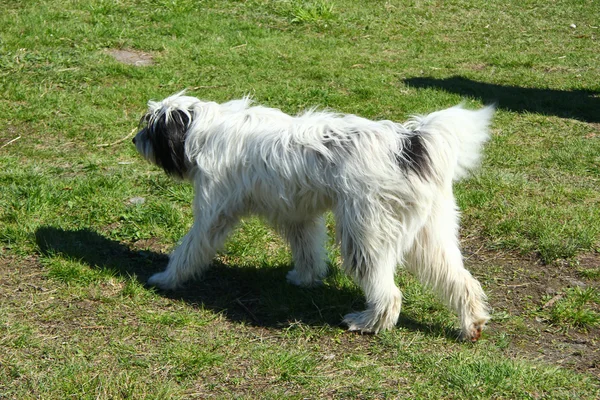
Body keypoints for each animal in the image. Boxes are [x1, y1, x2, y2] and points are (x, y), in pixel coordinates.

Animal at [134, 91, 494, 340]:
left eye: (151, 127)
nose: (136, 139)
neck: (203, 130)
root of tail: (409, 144)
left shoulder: (212, 214)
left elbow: (189, 249)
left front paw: (166, 279)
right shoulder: (299, 216)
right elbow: (307, 250)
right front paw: (305, 278)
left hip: (365, 234)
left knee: (388, 293)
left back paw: (368, 323)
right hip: (431, 235)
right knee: (461, 281)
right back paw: (471, 324)